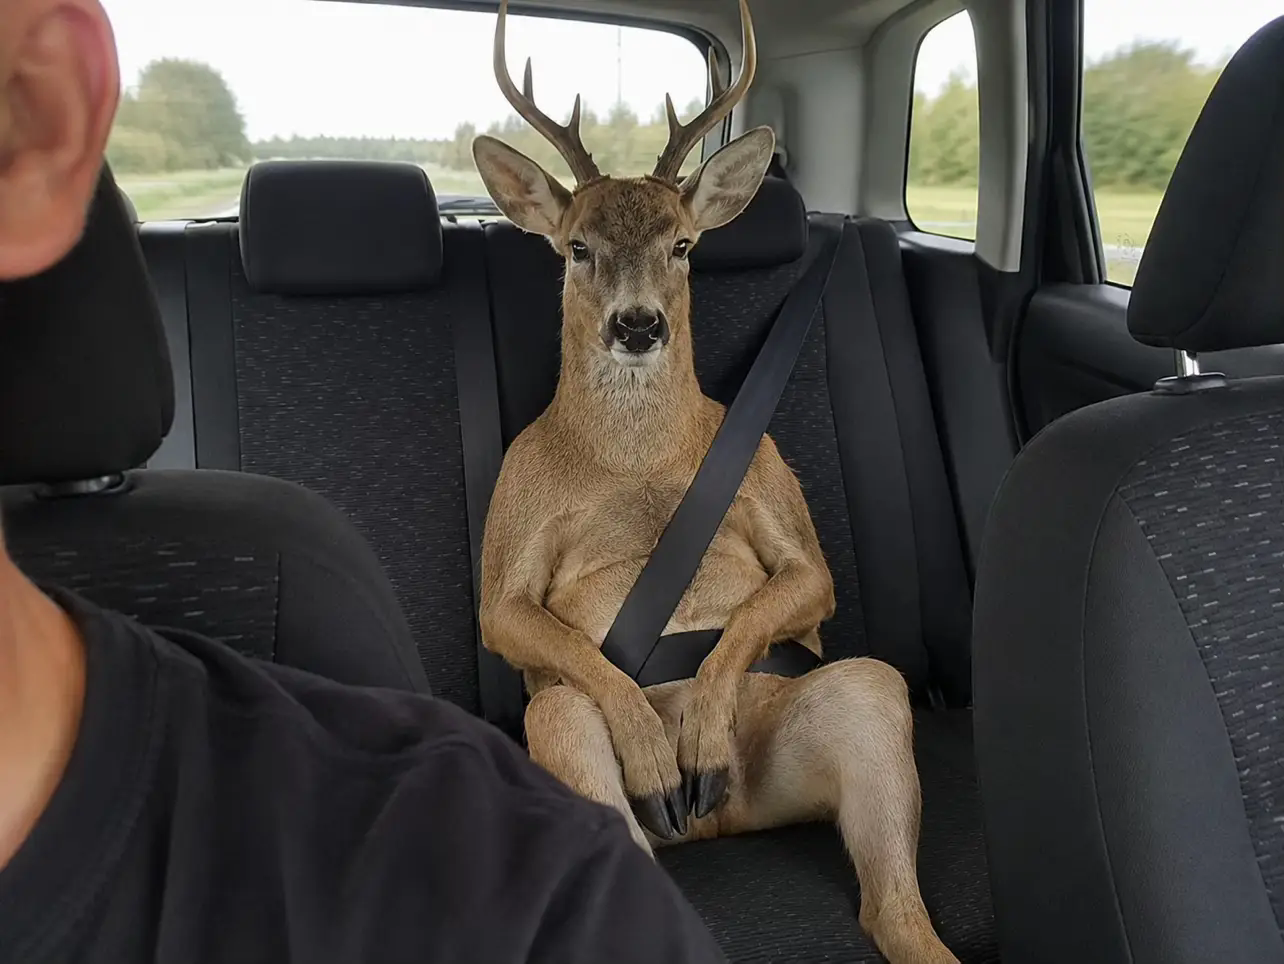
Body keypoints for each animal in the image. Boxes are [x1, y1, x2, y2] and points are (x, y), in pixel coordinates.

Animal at [472, 1, 957, 961]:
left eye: (684, 243)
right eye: (577, 246)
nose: (637, 325)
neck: (632, 461)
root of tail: (717, 830)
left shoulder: (772, 485)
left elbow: (775, 603)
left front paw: (697, 736)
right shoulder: (508, 540)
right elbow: (565, 647)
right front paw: (661, 755)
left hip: (847, 706)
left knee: (889, 898)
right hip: (560, 730)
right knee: (573, 733)